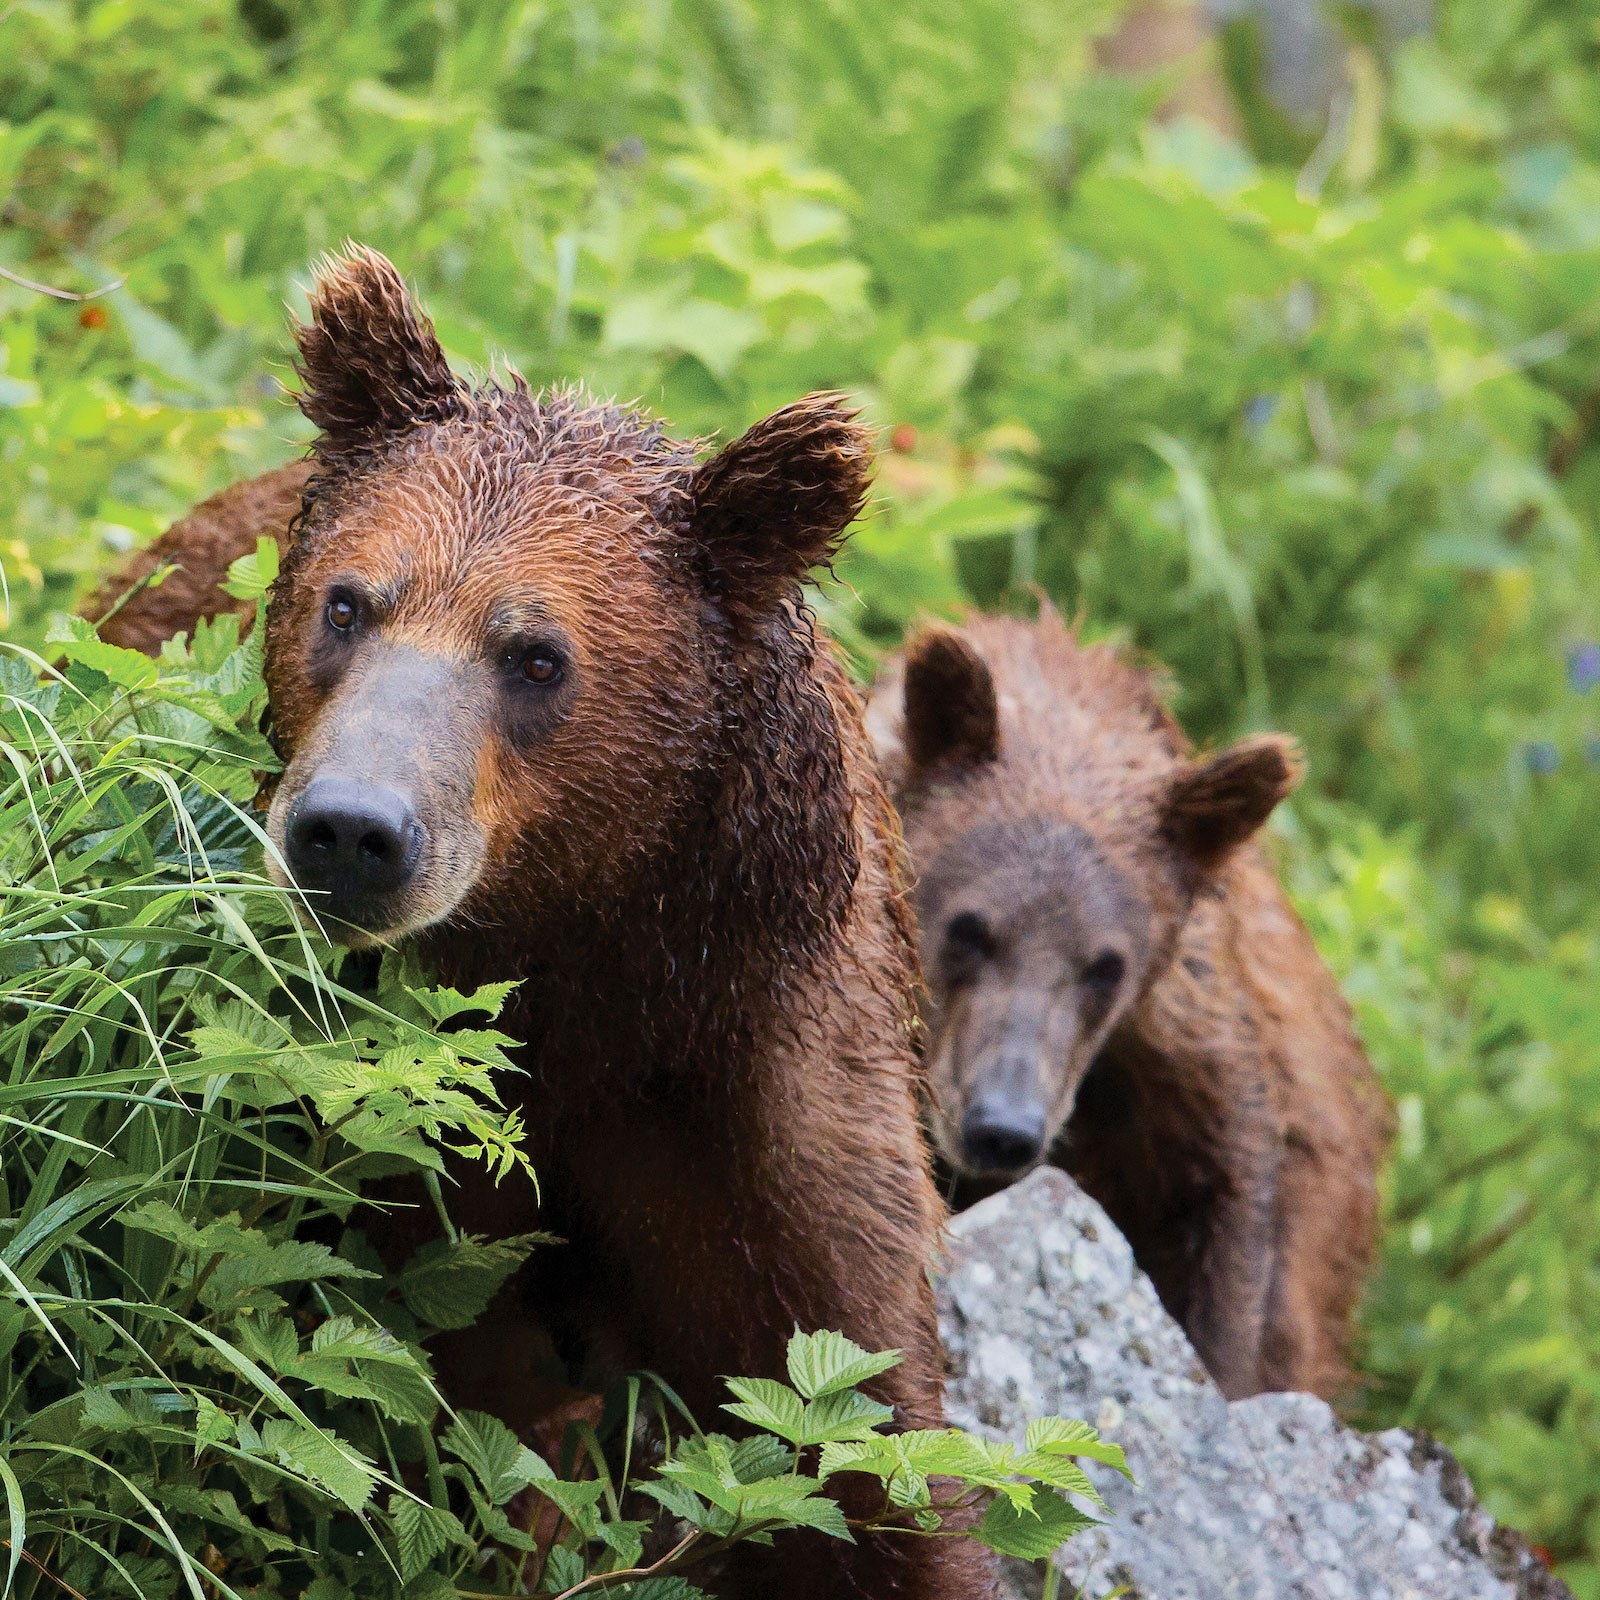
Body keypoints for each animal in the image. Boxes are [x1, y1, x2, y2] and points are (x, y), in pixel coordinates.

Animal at [87, 243, 992, 1593]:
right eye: (348, 604)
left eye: (537, 655)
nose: (351, 830)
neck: (579, 949)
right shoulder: (405, 1115)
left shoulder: (757, 1072)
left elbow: (858, 1423)